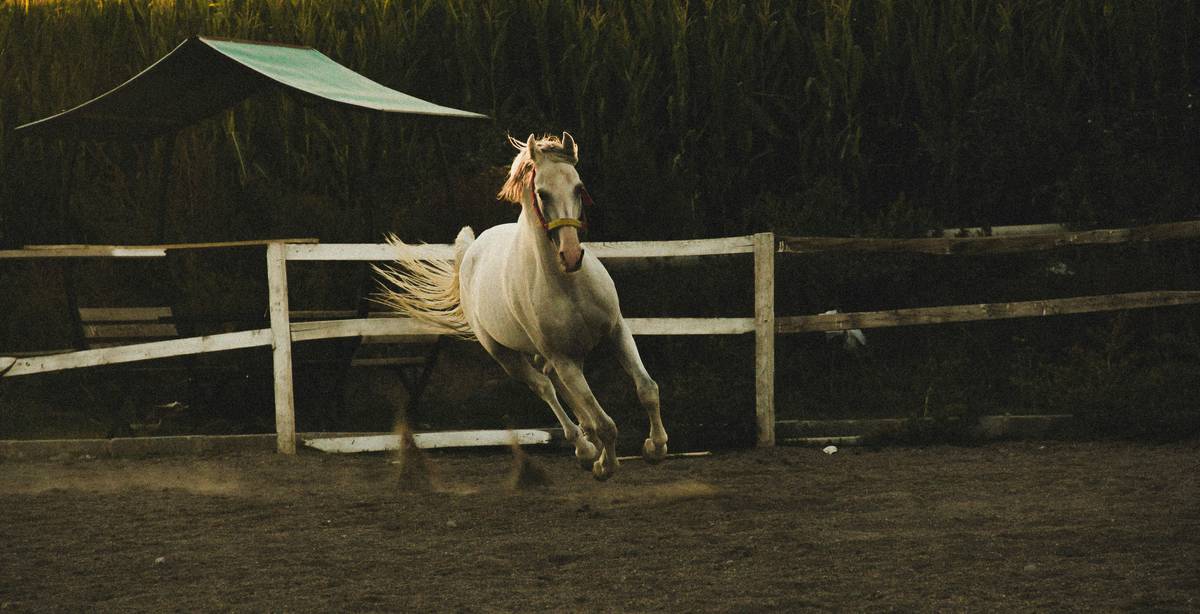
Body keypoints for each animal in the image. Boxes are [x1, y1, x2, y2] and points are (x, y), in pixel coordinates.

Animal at [375, 133, 667, 480]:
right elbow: (605, 423)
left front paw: (655, 449)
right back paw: (584, 448)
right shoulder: (563, 358)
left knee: (558, 385)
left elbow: (647, 389)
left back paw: (588, 440)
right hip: (507, 356)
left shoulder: (617, 332)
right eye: (542, 193)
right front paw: (603, 465)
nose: (571, 255)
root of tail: (471, 249)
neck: (568, 285)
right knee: (545, 387)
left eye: (578, 187)